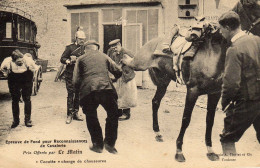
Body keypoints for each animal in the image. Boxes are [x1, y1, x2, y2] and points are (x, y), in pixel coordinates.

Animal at [122, 1, 260, 162]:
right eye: (251, 4)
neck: (212, 53)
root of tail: (153, 42)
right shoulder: (192, 91)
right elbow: (186, 119)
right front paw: (179, 151)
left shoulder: (214, 93)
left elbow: (210, 120)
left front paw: (210, 150)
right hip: (139, 64)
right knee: (125, 62)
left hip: (163, 81)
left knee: (155, 102)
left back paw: (157, 132)